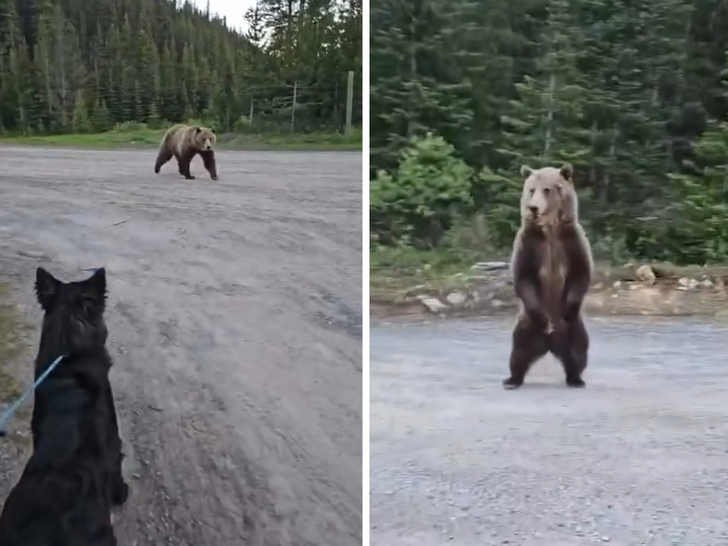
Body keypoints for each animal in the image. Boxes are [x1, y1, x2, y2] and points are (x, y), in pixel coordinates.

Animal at [502, 162, 594, 389]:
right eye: (531, 189)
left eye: (547, 189)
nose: (533, 208)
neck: (550, 231)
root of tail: (550, 343)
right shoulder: (529, 243)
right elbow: (523, 276)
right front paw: (544, 320)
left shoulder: (572, 241)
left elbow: (581, 273)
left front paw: (568, 309)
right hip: (526, 325)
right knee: (518, 351)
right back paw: (512, 379)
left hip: (574, 328)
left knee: (578, 351)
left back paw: (576, 378)